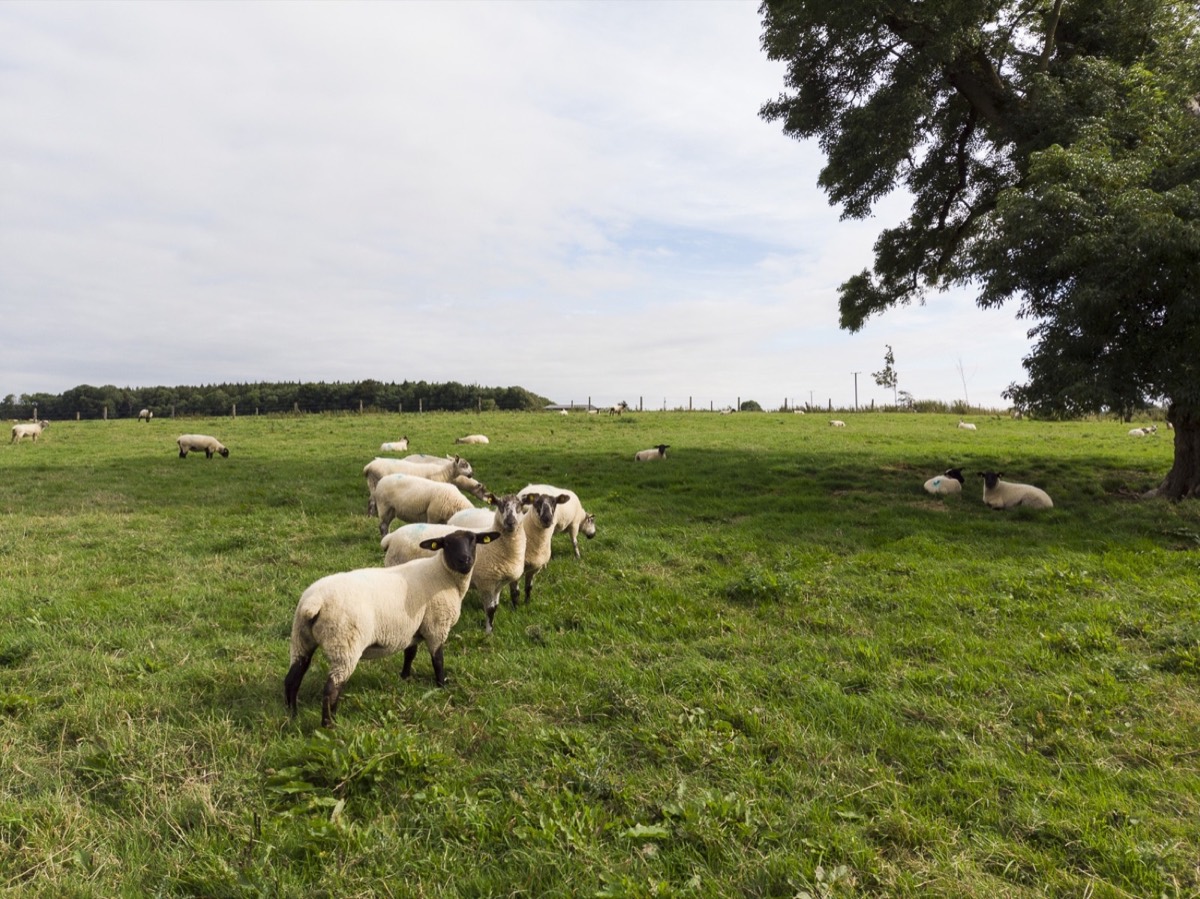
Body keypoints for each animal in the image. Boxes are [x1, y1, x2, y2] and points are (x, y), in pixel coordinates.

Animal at [284, 528, 500, 726]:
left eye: (473, 540)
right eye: (446, 544)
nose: (465, 560)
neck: (444, 575)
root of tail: (313, 602)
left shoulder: (413, 628)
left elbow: (410, 654)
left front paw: (405, 677)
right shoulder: (436, 627)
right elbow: (438, 660)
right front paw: (442, 686)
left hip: (301, 638)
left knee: (292, 678)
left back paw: (292, 716)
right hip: (344, 645)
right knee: (331, 689)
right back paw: (329, 725)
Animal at [384, 493, 532, 633]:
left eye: (520, 506)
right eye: (500, 506)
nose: (510, 522)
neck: (497, 545)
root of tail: (391, 537)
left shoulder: (497, 584)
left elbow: (495, 607)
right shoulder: (486, 583)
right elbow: (490, 609)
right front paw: (488, 633)